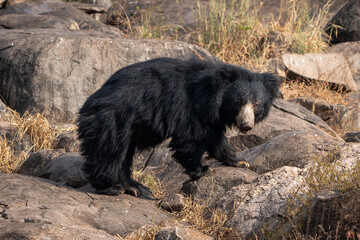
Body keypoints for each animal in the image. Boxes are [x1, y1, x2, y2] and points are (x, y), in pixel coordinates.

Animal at [78, 57, 282, 196]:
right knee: (108, 150)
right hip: (114, 119)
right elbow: (190, 139)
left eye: (256, 104)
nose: (247, 126)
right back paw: (111, 187)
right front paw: (202, 169)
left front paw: (239, 161)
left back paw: (133, 187)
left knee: (123, 154)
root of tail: (92, 99)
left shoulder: (210, 117)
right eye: (239, 101)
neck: (213, 95)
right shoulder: (189, 107)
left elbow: (215, 138)